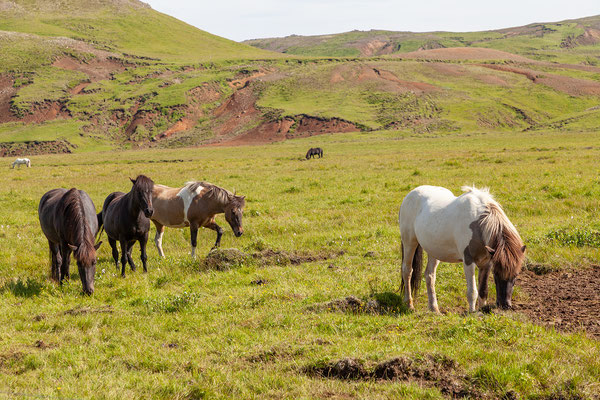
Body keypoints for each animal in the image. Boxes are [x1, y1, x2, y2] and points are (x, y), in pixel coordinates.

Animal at [400, 185, 528, 312]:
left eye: (516, 276)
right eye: (496, 274)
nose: (505, 305)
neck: (478, 224)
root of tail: (412, 193)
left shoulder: (487, 263)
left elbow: (483, 290)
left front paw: (482, 309)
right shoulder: (468, 261)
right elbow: (472, 292)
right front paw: (472, 313)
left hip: (433, 250)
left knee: (429, 275)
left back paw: (434, 308)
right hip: (409, 243)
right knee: (407, 270)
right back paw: (409, 304)